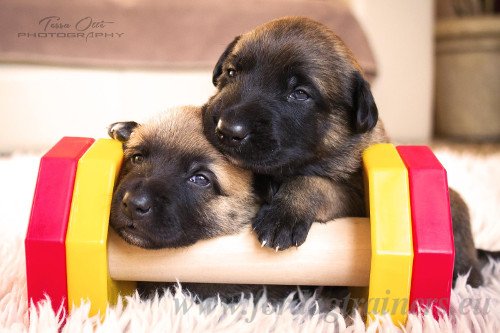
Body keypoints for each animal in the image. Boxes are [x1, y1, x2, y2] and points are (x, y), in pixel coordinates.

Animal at [201, 16, 490, 286]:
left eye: (300, 94)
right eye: (231, 73)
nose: (227, 129)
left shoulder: (356, 198)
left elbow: (314, 183)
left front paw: (283, 215)